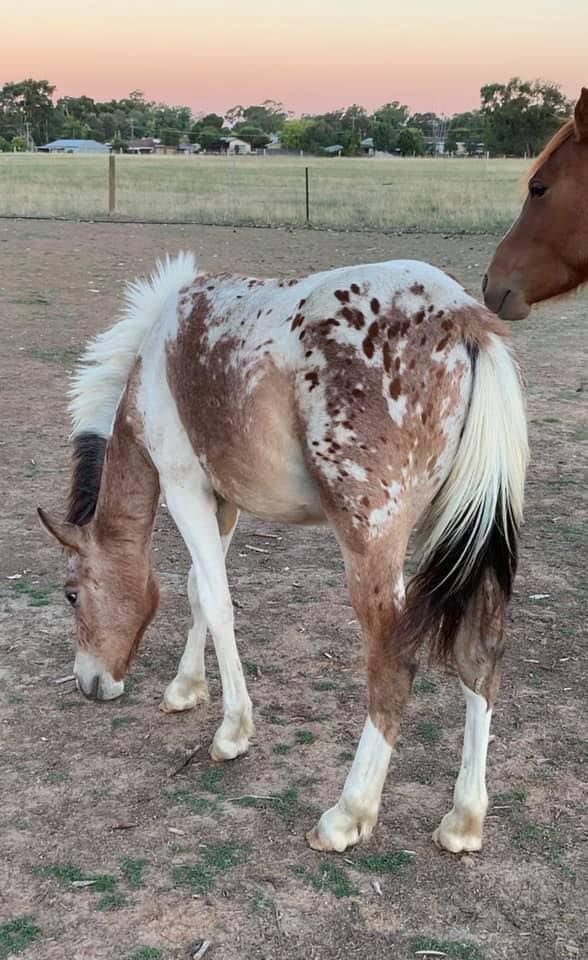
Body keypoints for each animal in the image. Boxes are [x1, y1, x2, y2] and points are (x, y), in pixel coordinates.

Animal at [41, 255, 528, 856]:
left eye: (71, 594)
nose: (88, 683)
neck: (154, 359)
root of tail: (463, 319)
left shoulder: (184, 489)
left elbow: (216, 602)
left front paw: (232, 732)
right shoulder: (223, 499)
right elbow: (198, 591)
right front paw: (186, 689)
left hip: (372, 543)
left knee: (394, 661)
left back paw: (348, 813)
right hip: (462, 537)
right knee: (480, 656)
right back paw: (464, 820)